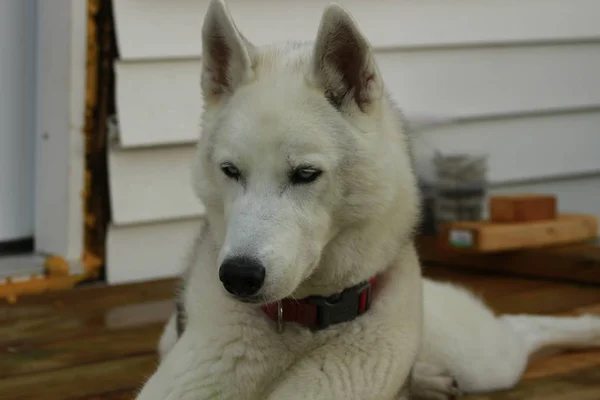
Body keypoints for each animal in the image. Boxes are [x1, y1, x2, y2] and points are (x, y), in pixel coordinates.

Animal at [138, 1, 600, 398]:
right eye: (231, 171)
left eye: (305, 174)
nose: (237, 276)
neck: (299, 321)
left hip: (481, 360)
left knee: (521, 327)